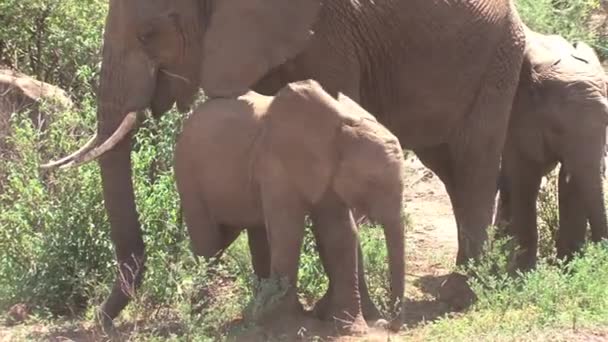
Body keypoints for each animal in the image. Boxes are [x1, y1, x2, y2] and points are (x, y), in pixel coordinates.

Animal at [173, 79, 406, 332]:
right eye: (372, 181)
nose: (390, 324)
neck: (339, 125)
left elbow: (340, 233)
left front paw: (348, 326)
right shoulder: (275, 164)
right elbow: (289, 231)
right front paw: (291, 324)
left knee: (239, 237)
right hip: (188, 176)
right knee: (208, 244)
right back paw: (201, 318)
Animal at [494, 29, 608, 270]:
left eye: (607, 123)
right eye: (556, 128)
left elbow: (572, 184)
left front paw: (570, 267)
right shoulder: (517, 116)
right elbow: (525, 179)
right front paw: (525, 272)